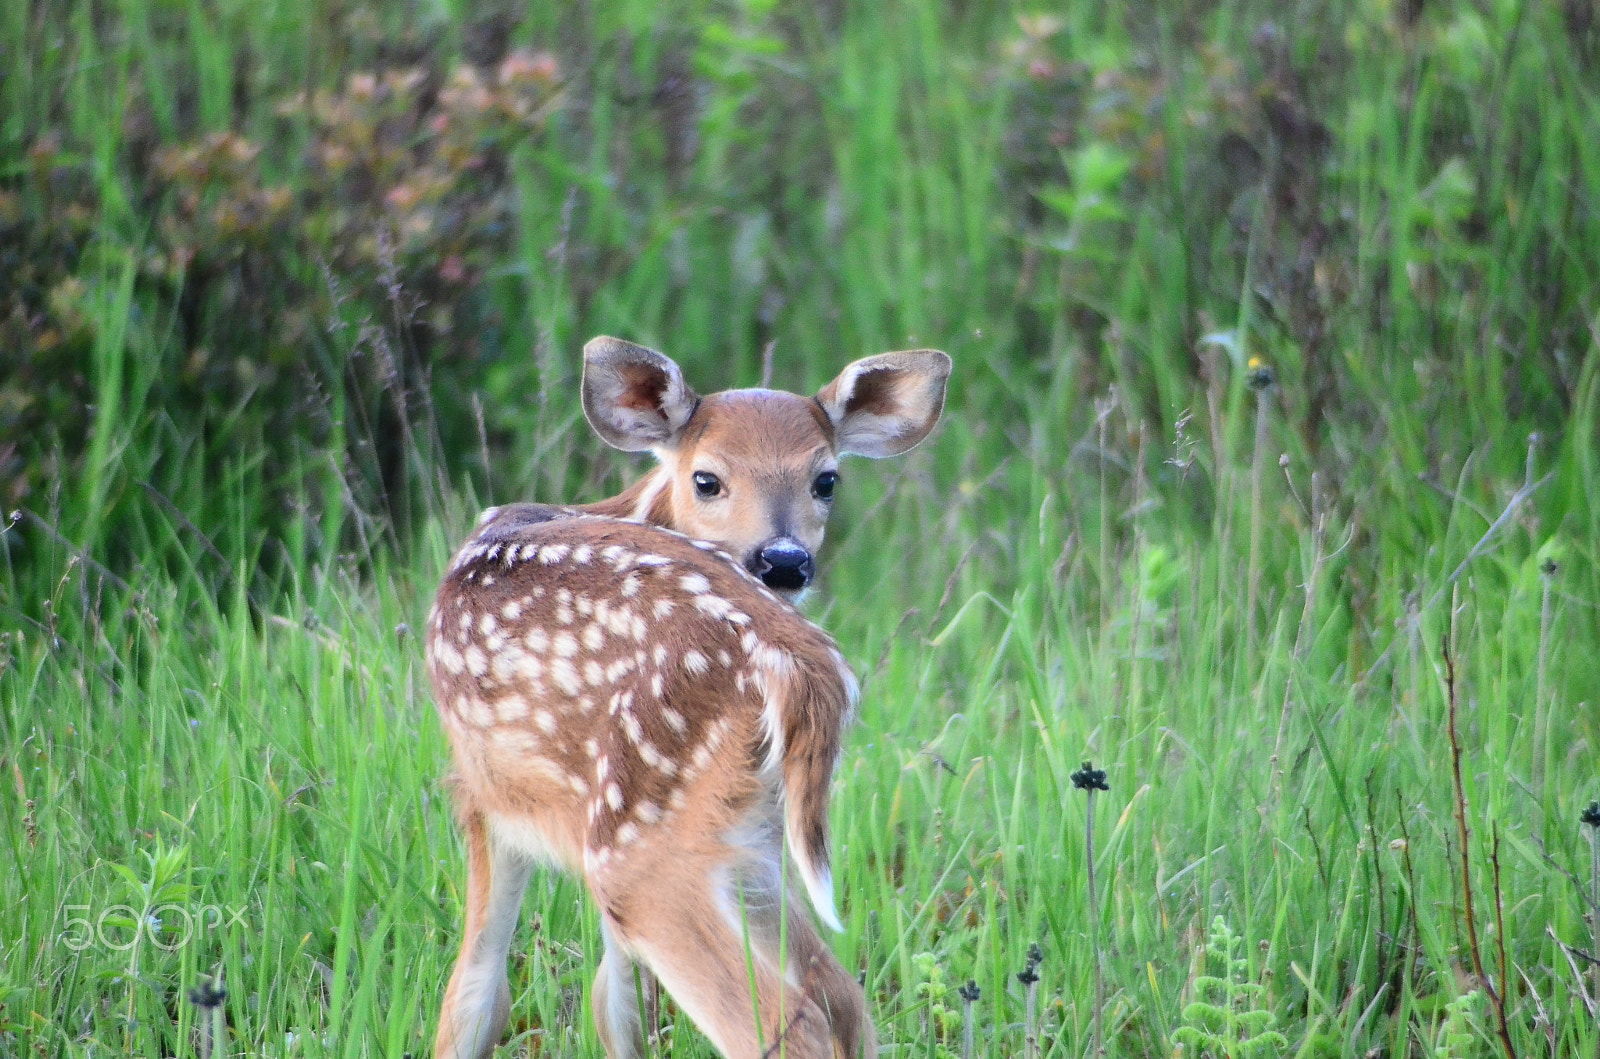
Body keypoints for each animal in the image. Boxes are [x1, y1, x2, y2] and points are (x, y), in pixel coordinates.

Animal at [429, 337, 952, 1059]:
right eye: (707, 479)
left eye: (826, 480)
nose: (784, 561)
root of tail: (798, 660)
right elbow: (617, 1004)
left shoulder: (482, 791)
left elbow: (474, 994)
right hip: (744, 834)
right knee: (843, 999)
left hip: (641, 826)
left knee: (782, 1021)